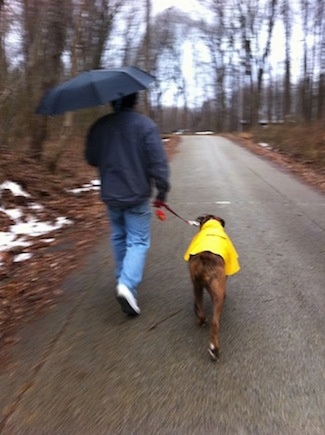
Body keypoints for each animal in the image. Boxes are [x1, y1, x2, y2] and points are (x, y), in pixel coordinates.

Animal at [184, 215, 239, 362]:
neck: (212, 224)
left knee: (200, 306)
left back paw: (201, 319)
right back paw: (214, 348)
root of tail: (205, 257)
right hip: (218, 292)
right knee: (215, 322)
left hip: (197, 285)